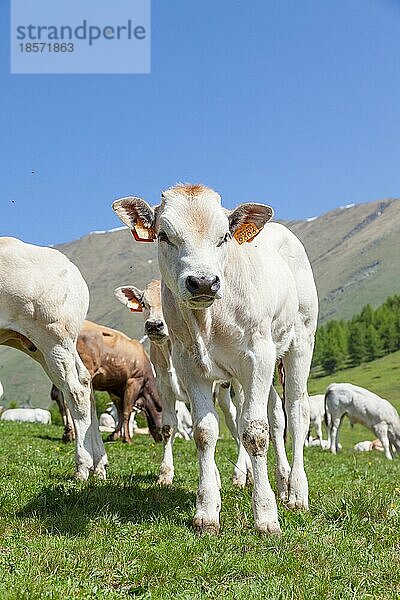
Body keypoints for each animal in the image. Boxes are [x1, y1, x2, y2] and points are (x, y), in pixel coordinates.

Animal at [0, 237, 107, 480]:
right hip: (45, 346)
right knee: (86, 381)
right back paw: (100, 464)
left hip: (53, 338)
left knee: (76, 391)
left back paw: (83, 466)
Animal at [113, 183, 318, 536]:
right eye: (163, 235)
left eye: (224, 236)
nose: (203, 282)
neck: (207, 320)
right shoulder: (189, 366)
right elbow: (205, 432)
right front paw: (207, 510)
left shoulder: (257, 356)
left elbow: (254, 432)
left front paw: (266, 515)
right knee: (276, 415)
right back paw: (280, 481)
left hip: (299, 342)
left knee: (296, 410)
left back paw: (296, 492)